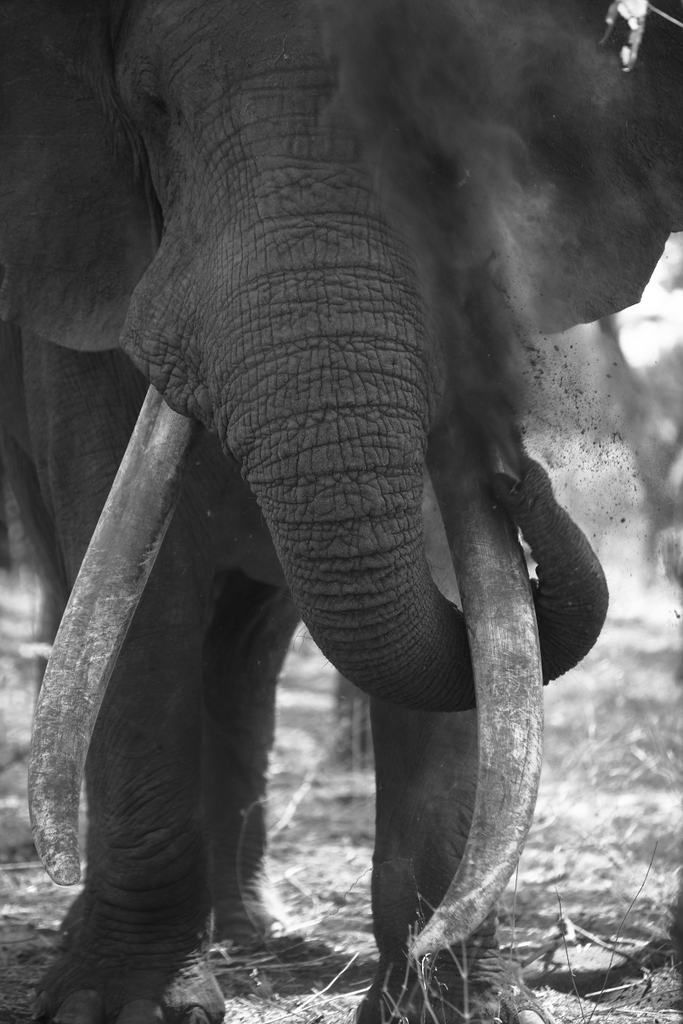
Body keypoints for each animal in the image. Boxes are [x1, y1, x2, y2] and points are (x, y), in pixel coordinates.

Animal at [2, 0, 679, 1019]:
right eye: (154, 112)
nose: (520, 479)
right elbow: (137, 594)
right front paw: (113, 1004)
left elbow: (455, 598)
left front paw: (455, 1006)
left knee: (248, 639)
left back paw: (253, 932)